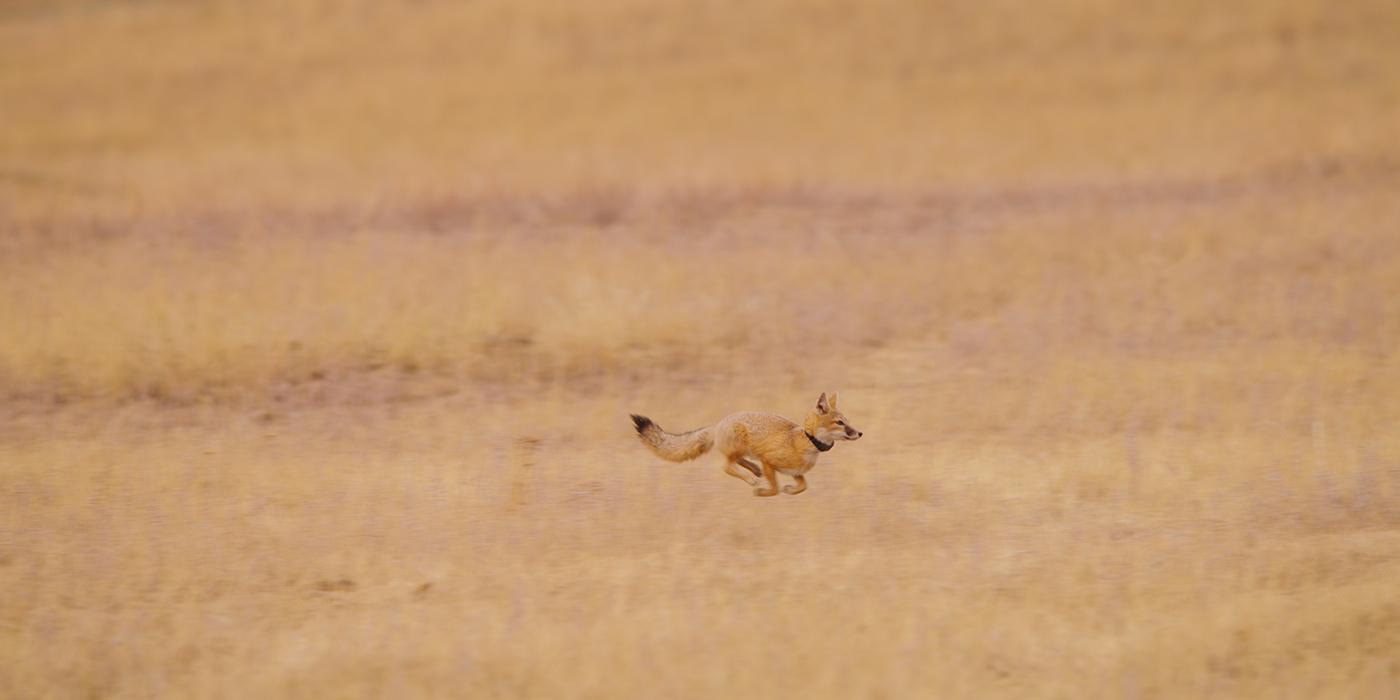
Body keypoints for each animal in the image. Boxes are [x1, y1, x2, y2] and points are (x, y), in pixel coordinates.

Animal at [630, 392, 856, 495]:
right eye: (840, 423)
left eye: (848, 421)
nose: (860, 433)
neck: (804, 440)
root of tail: (718, 423)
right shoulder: (768, 460)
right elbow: (775, 488)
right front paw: (763, 492)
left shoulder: (795, 472)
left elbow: (803, 486)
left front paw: (790, 490)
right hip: (739, 446)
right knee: (726, 466)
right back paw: (751, 478)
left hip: (743, 450)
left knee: (737, 461)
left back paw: (753, 470)